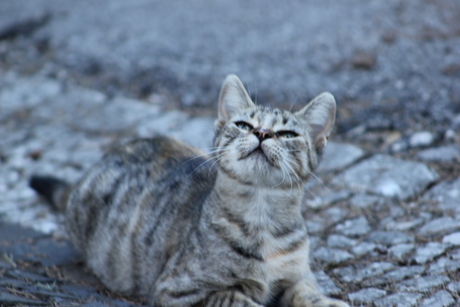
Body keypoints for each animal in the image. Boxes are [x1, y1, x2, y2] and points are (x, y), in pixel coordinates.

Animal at [29, 75, 348, 307]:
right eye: (244, 125)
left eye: (287, 134)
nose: (262, 133)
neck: (263, 214)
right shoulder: (179, 289)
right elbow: (235, 298)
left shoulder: (298, 276)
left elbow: (309, 294)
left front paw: (327, 302)